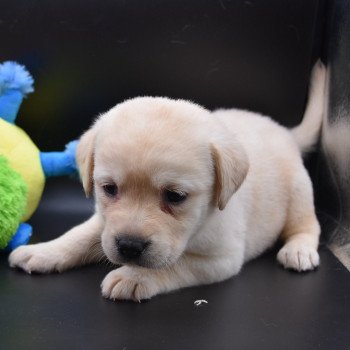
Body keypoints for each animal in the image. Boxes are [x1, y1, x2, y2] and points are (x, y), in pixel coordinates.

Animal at [8, 60, 326, 300]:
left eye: (175, 196)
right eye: (109, 189)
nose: (129, 247)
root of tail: (286, 132)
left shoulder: (220, 258)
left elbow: (174, 264)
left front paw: (133, 276)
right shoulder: (105, 222)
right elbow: (78, 235)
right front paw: (43, 251)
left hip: (300, 192)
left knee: (308, 225)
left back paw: (299, 250)